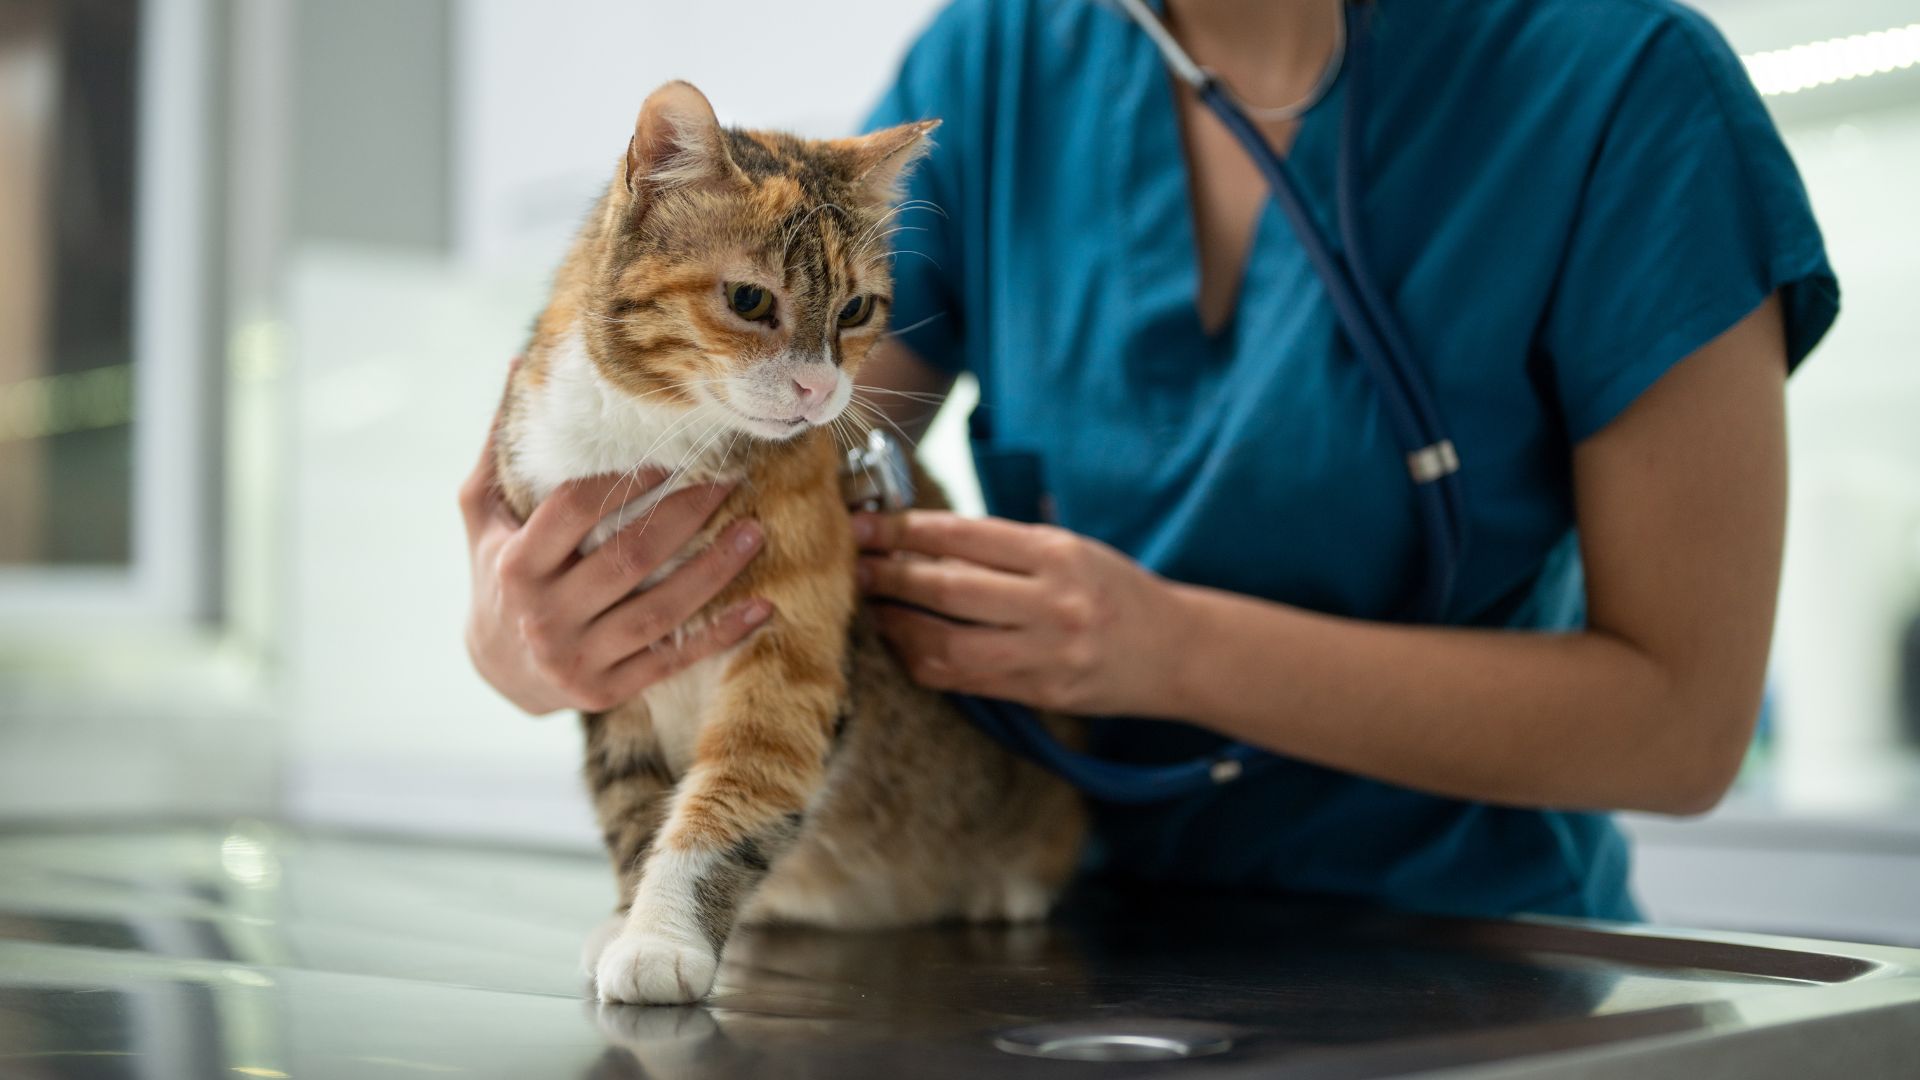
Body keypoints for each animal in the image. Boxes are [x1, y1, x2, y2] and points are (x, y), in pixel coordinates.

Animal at [487, 82, 1090, 999]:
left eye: (855, 309)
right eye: (749, 301)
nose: (818, 387)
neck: (654, 446)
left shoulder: (788, 659)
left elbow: (730, 797)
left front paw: (661, 940)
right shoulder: (603, 666)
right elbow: (631, 804)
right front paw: (630, 919)